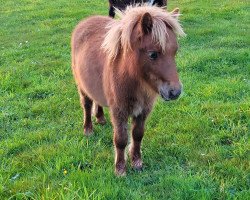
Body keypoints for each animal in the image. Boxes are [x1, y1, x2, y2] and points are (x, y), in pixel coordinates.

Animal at [71, 3, 185, 174]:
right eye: (153, 54)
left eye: (175, 52)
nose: (175, 92)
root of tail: (85, 22)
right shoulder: (119, 112)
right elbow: (121, 139)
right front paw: (120, 169)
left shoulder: (143, 111)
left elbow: (137, 135)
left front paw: (137, 162)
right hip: (82, 87)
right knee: (86, 105)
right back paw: (88, 129)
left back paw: (100, 118)